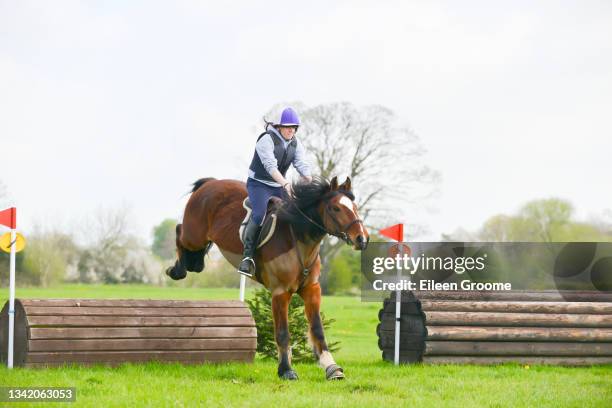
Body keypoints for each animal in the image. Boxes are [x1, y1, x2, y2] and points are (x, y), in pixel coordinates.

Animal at [165, 175, 370, 380]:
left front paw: (332, 367)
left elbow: (317, 329)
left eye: (354, 206)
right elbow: (282, 333)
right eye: (335, 208)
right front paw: (286, 370)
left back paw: (189, 264)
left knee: (195, 261)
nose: (362, 239)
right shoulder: (280, 292)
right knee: (179, 231)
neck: (299, 238)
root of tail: (211, 182)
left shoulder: (311, 289)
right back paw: (176, 270)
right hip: (194, 235)